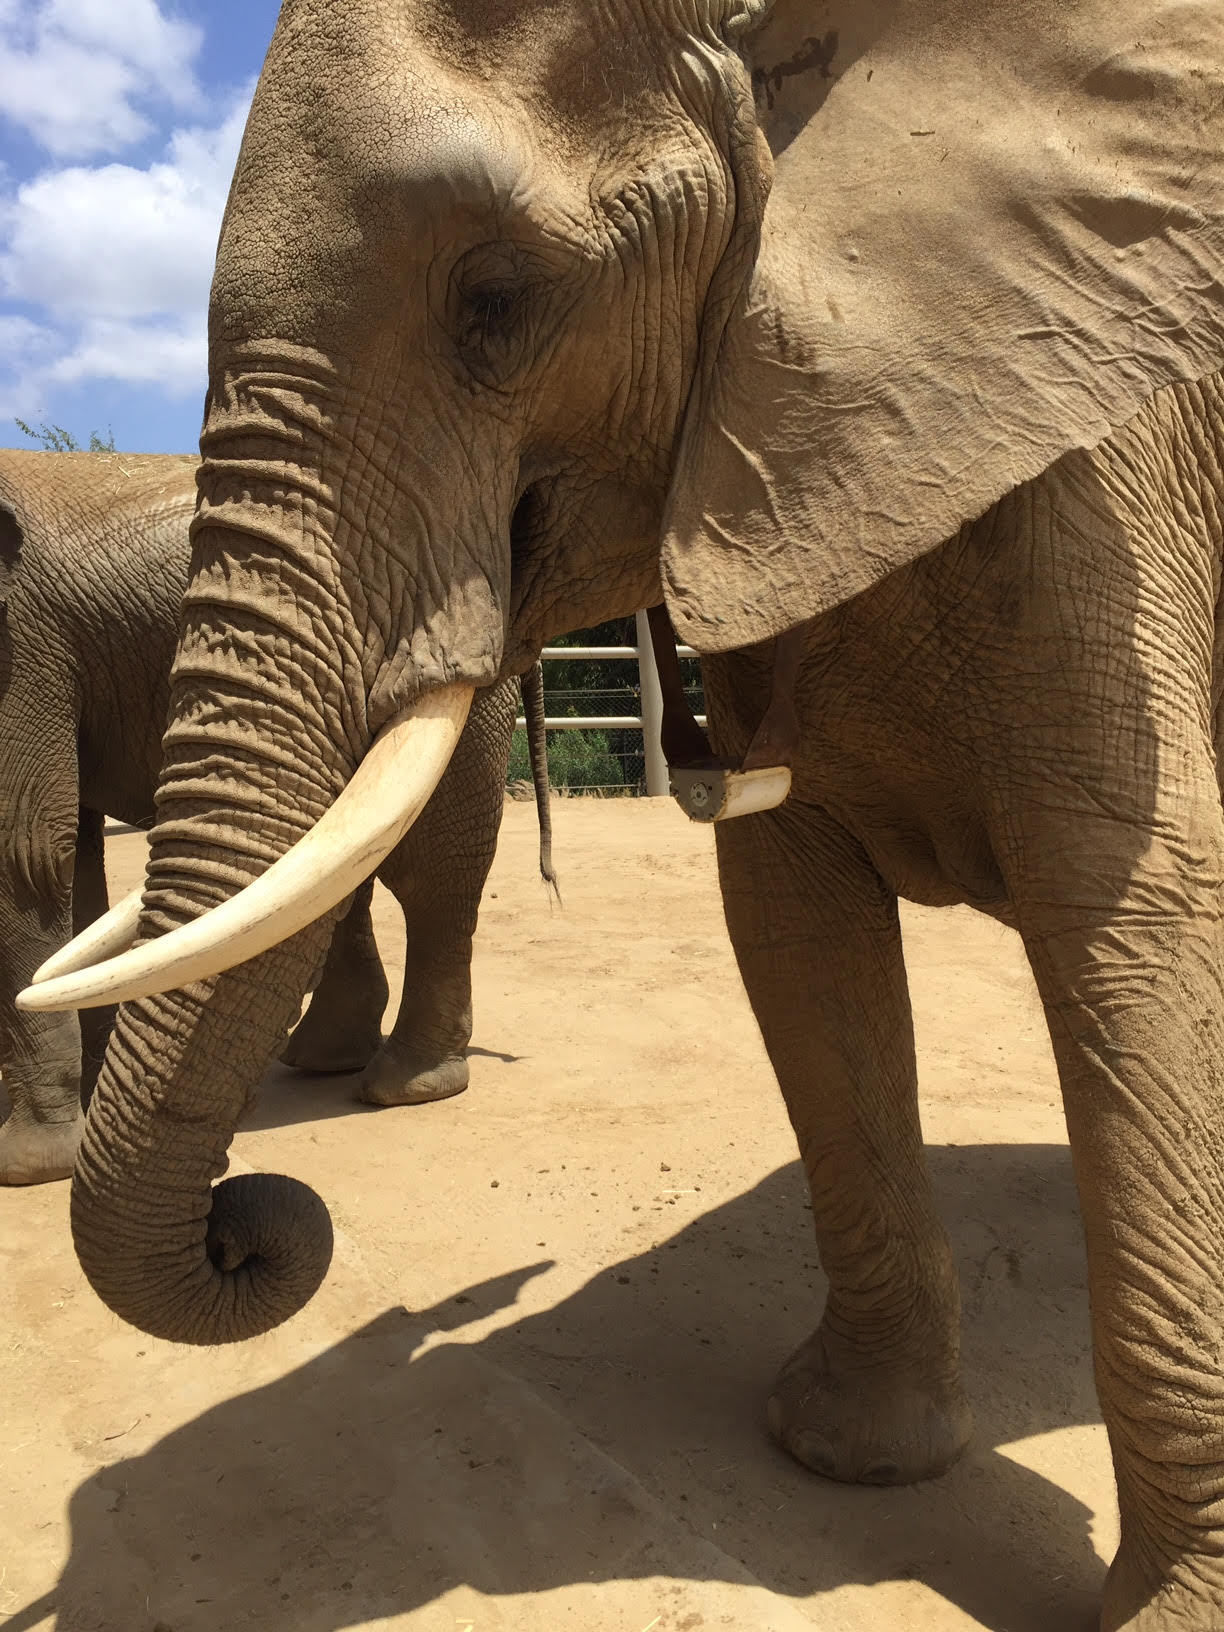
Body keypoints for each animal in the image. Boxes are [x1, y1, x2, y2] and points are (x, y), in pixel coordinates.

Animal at [0, 456, 545, 1188]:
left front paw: (30, 1166)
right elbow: (65, 854)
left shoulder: (23, 651)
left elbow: (27, 851)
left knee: (432, 870)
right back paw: (322, 1060)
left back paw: (404, 1086)